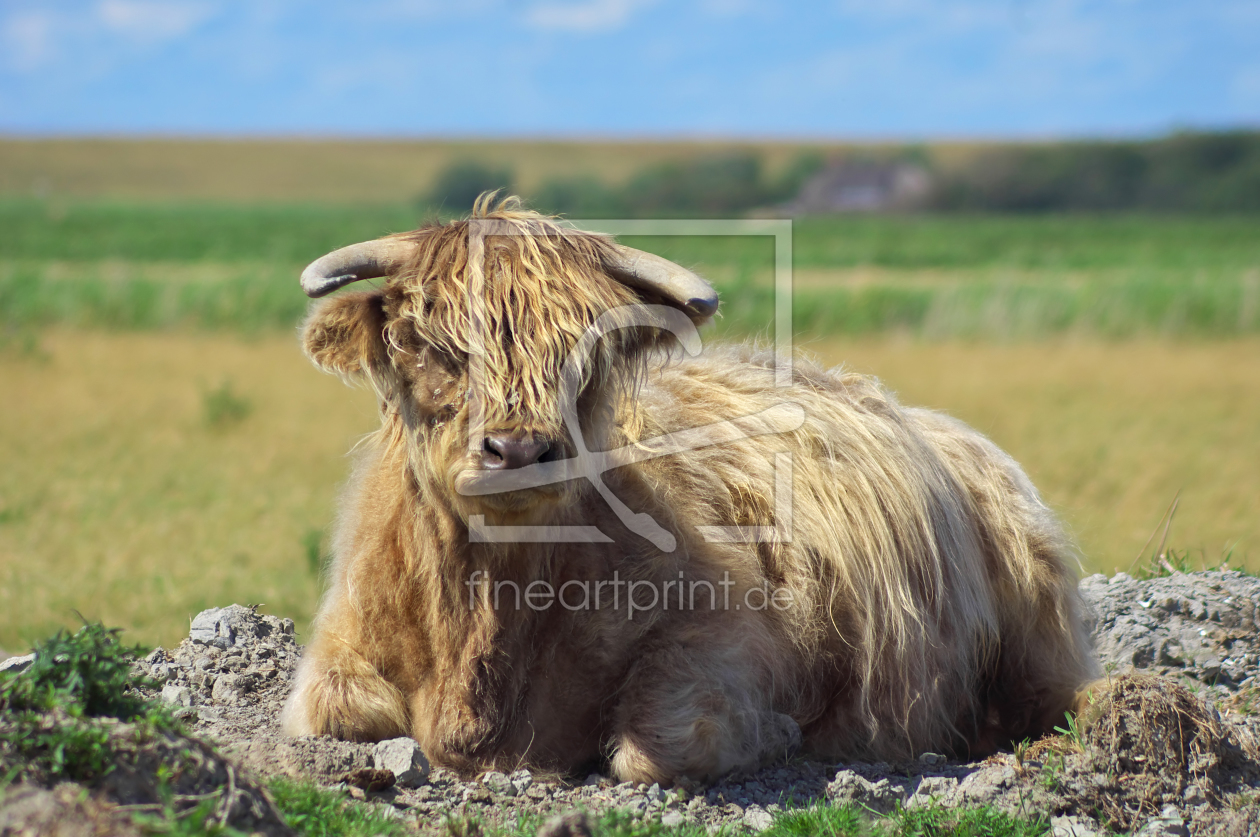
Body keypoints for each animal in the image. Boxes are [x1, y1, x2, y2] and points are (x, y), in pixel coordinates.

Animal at [283, 196, 1093, 786]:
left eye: (587, 354)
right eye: (431, 344)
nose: (517, 450)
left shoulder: (727, 635)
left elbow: (659, 744)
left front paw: (782, 735)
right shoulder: (342, 644)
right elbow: (339, 711)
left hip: (1037, 633)